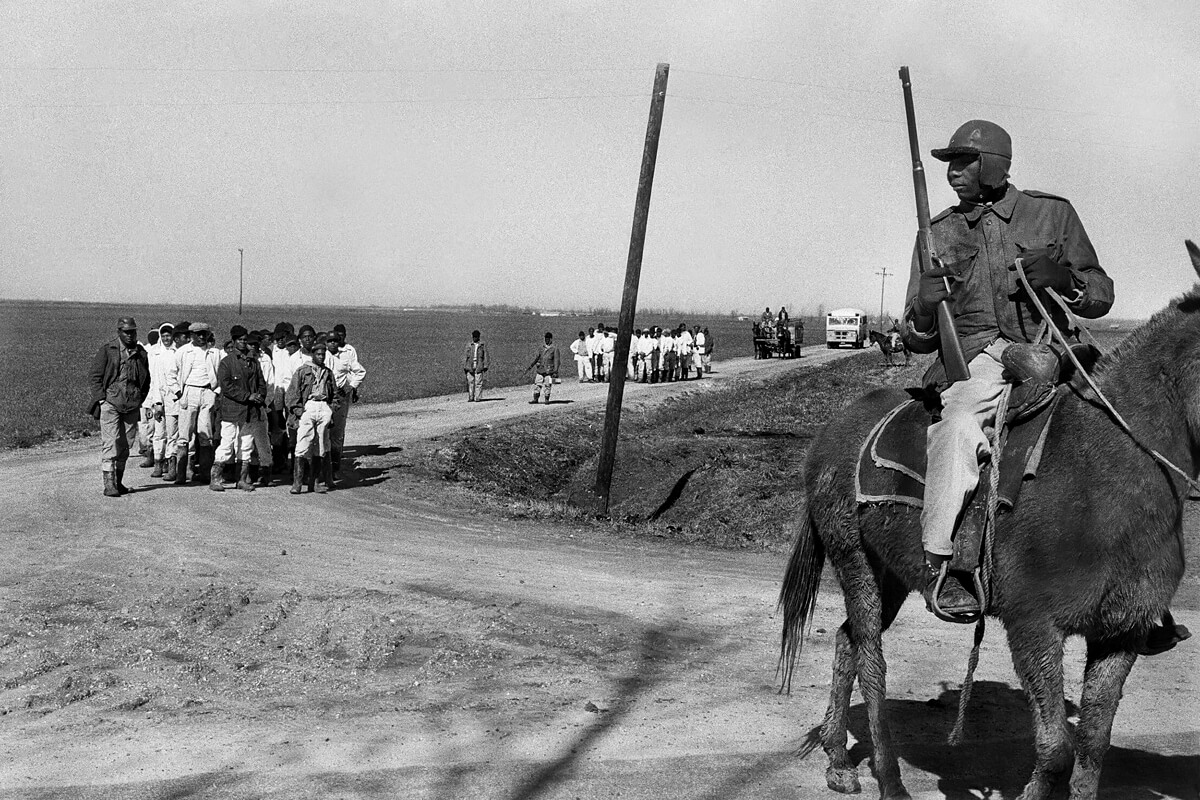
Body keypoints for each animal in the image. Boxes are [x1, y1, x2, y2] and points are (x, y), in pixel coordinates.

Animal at [777, 241, 1200, 796]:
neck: (1109, 469)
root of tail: (830, 433)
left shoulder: (1121, 635)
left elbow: (1091, 748)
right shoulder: (1034, 626)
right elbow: (1056, 750)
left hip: (892, 575)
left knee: (847, 641)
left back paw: (837, 759)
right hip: (855, 563)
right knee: (870, 657)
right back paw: (889, 777)